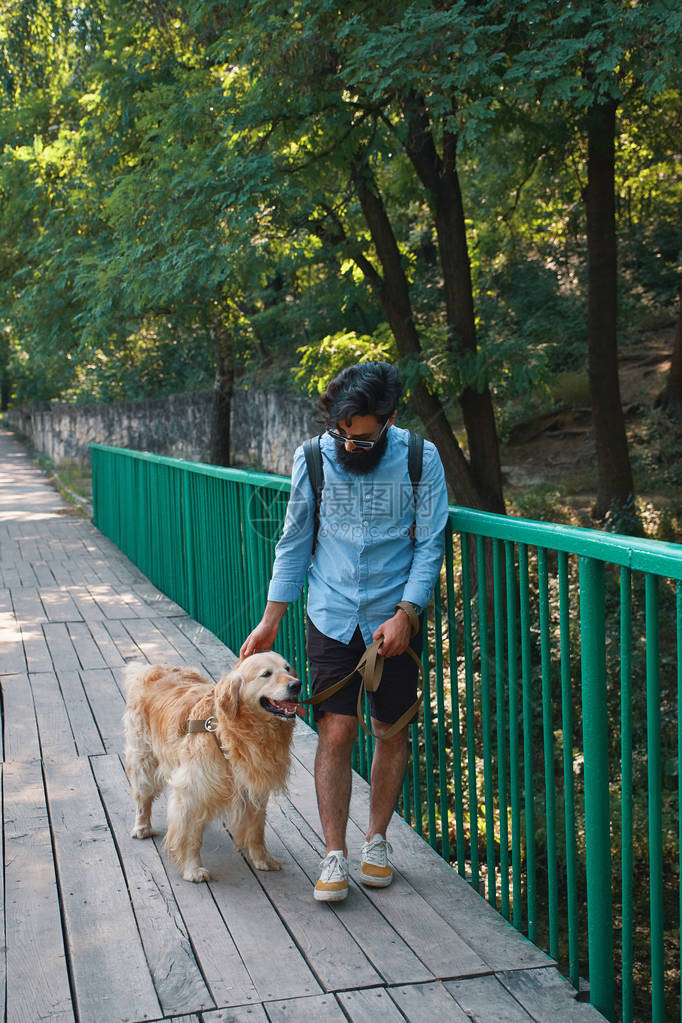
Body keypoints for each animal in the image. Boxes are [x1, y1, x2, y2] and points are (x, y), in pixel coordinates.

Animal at [122, 654, 300, 879]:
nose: (297, 684)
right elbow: (189, 835)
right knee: (142, 798)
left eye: (288, 669)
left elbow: (256, 830)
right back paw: (142, 826)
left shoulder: (253, 790)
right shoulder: (192, 790)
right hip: (143, 759)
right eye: (266, 674)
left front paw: (262, 858)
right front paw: (192, 868)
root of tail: (148, 669)